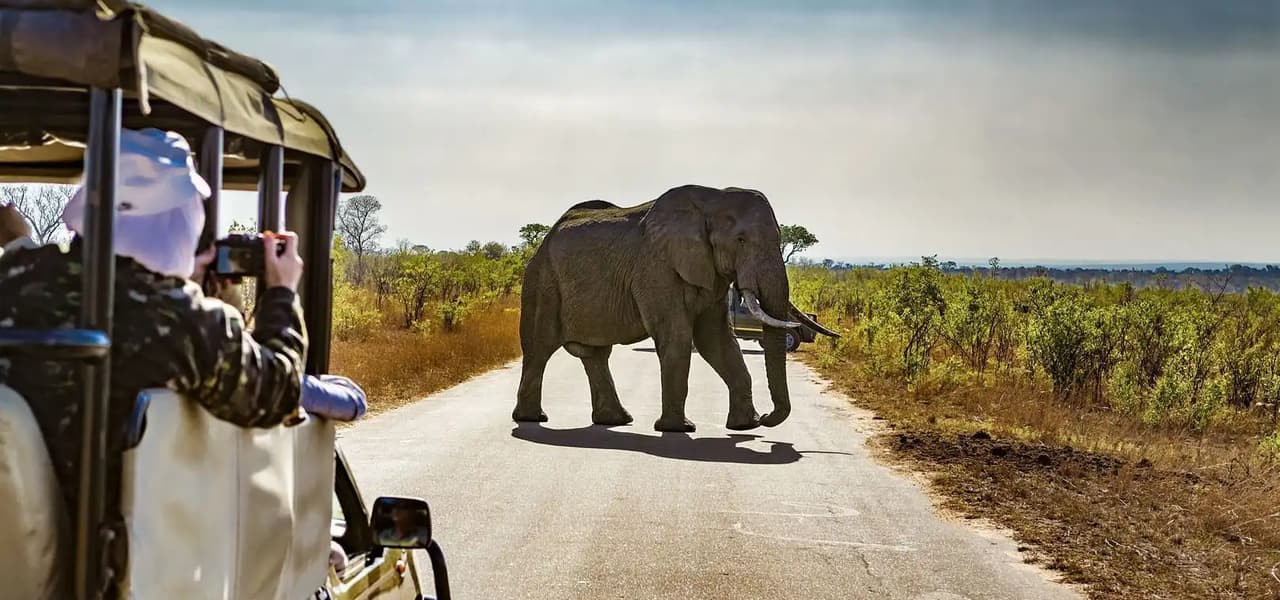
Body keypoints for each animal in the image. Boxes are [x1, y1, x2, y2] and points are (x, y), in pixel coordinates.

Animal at [513, 184, 839, 432]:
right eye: (741, 240)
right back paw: (533, 419)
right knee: (540, 348)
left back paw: (616, 421)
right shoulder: (656, 268)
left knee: (595, 355)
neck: (712, 200)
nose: (769, 419)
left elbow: (717, 340)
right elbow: (678, 336)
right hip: (542, 281)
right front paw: (679, 429)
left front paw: (745, 426)